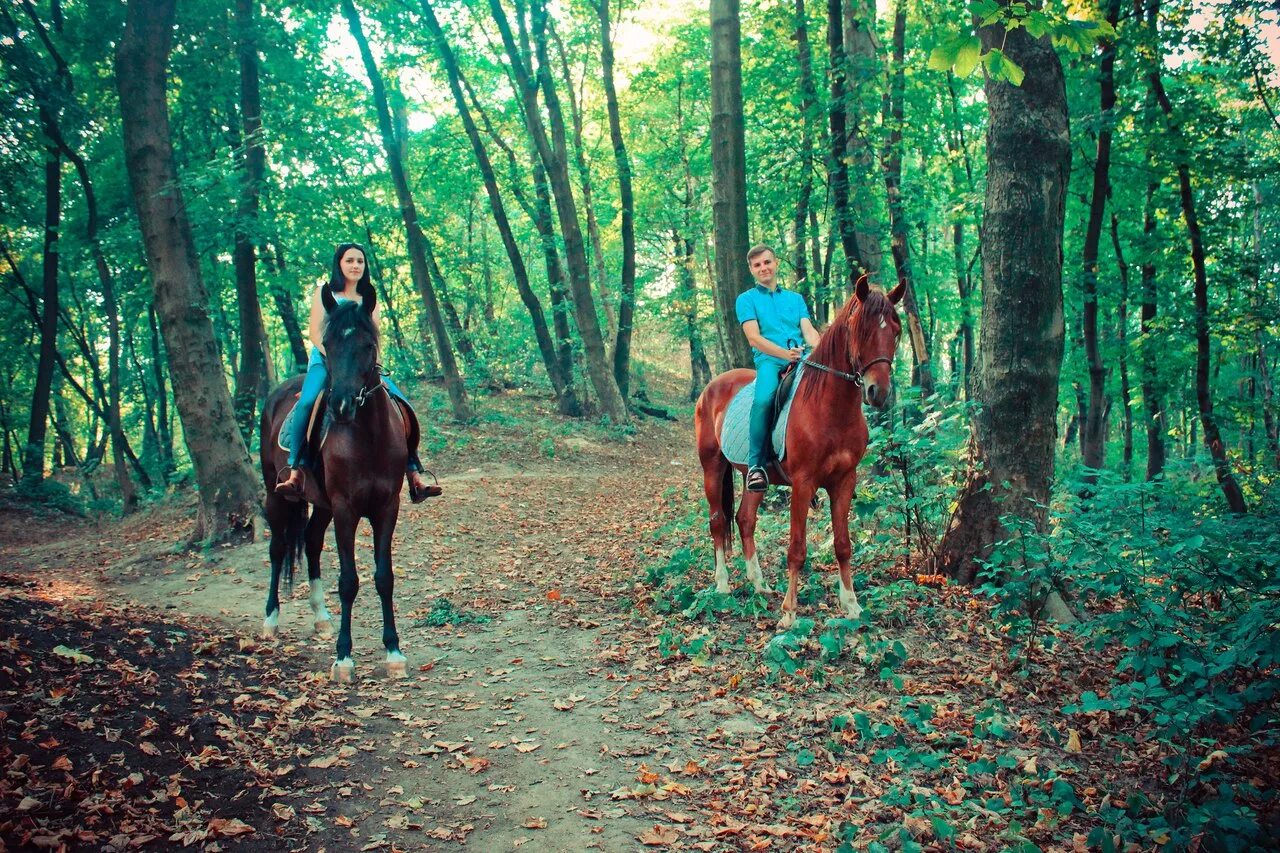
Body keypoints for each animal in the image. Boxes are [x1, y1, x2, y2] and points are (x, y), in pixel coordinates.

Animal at [262, 289, 412, 681]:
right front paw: (344, 657)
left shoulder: (387, 507)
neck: (370, 437)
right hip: (275, 495)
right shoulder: (346, 509)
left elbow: (384, 577)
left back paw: (321, 618)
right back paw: (270, 619)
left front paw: (393, 651)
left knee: (312, 543)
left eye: (368, 344)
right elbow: (348, 581)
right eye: (327, 344)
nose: (341, 405)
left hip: (322, 505)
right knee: (278, 549)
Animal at [696, 277, 906, 625]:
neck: (830, 409)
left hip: (755, 477)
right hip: (712, 466)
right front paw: (789, 612)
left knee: (744, 519)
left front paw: (851, 605)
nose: (878, 392)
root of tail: (712, 387)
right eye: (859, 330)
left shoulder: (844, 481)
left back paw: (759, 583)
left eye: (896, 330)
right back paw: (723, 584)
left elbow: (843, 544)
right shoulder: (803, 483)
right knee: (717, 520)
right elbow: (797, 548)